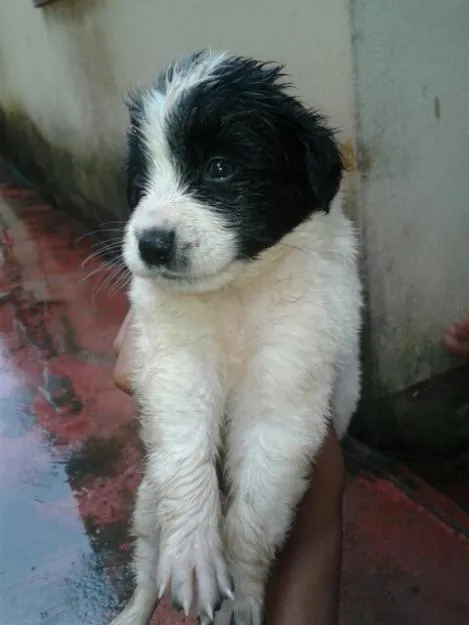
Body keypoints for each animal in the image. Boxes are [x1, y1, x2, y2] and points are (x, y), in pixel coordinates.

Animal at [110, 50, 362, 624]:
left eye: (220, 168)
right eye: (142, 180)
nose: (150, 244)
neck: (238, 292)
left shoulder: (286, 391)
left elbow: (255, 514)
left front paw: (242, 598)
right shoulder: (175, 362)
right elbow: (186, 455)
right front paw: (193, 559)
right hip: (146, 499)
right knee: (146, 563)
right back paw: (133, 611)